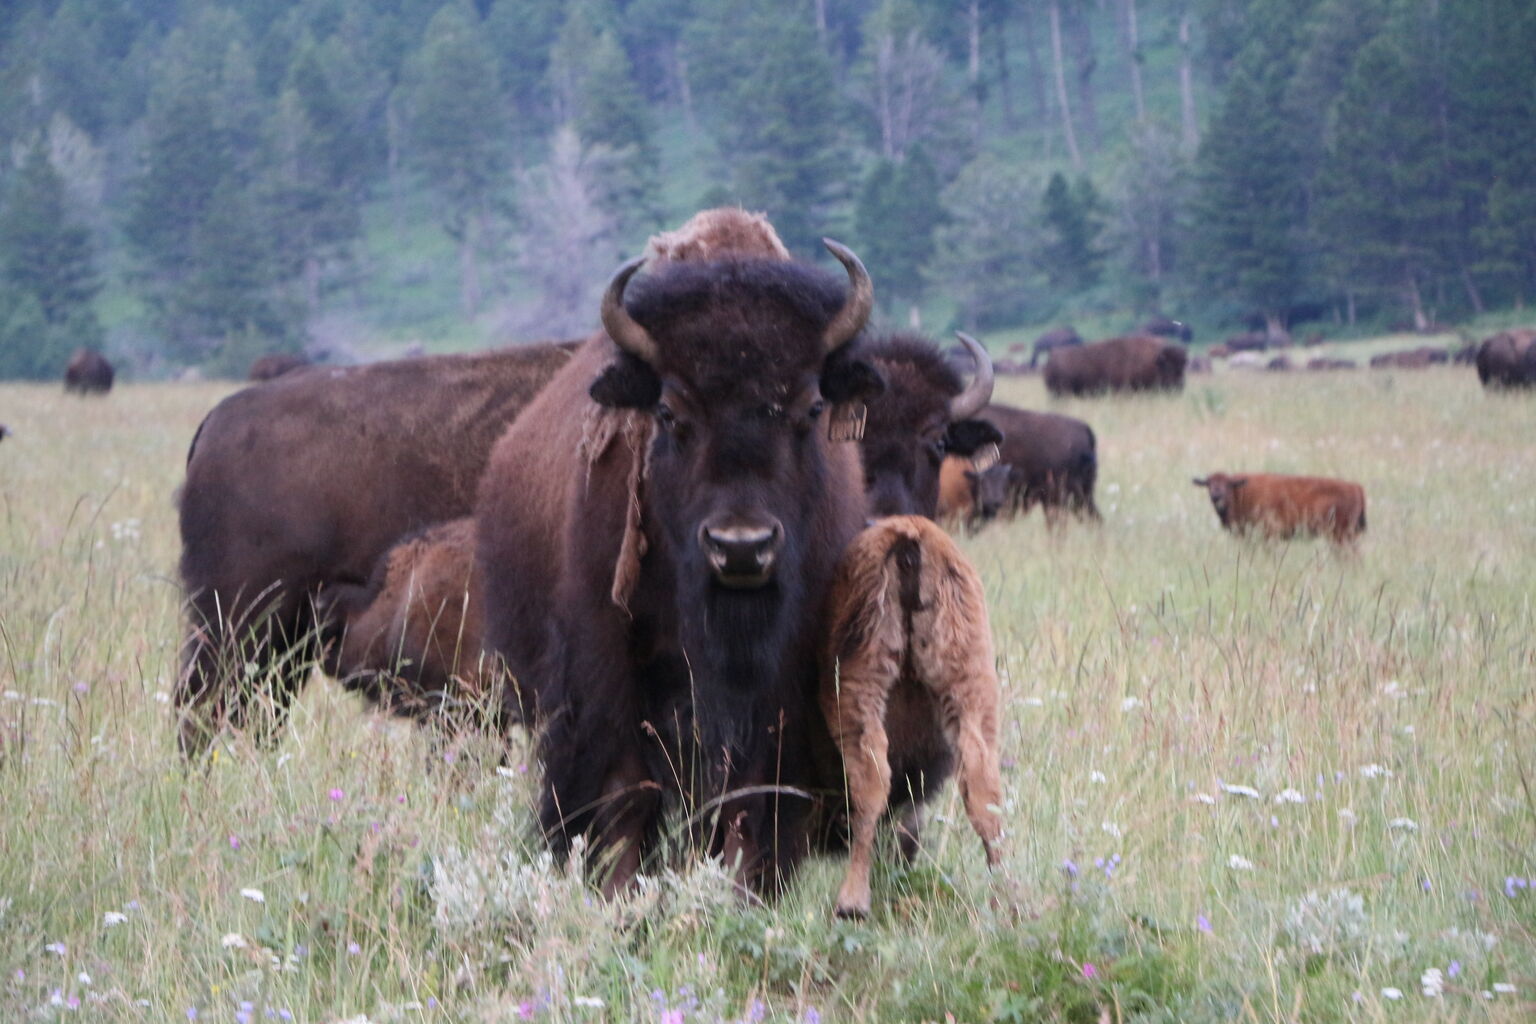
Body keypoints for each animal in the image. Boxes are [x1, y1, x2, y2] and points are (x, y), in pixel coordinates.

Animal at [476, 241, 890, 896]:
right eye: (669, 412)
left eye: (811, 407)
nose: (741, 546)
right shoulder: (607, 668)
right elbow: (626, 791)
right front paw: (619, 894)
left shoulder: (783, 682)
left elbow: (752, 794)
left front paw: (746, 891)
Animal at [817, 515, 1007, 914]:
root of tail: (911, 535)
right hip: (969, 689)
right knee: (983, 792)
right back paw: (1007, 904)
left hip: (859, 688)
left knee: (871, 783)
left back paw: (851, 902)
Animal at [1185, 475, 1370, 549]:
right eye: (1208, 484)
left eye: (1228, 485)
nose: (1216, 496)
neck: (1242, 492)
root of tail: (1356, 487)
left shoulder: (1269, 533)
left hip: (1341, 536)